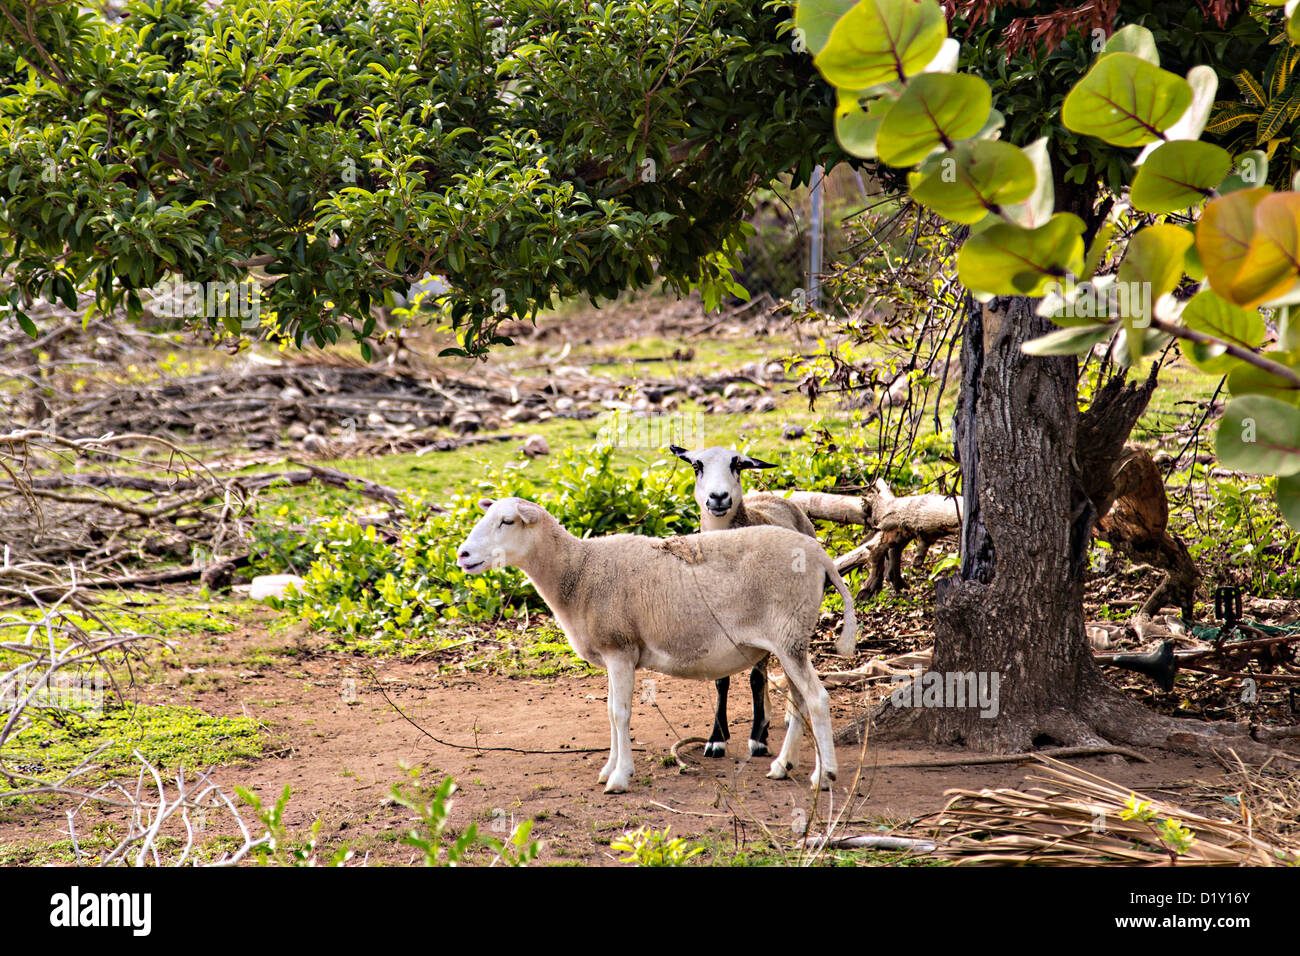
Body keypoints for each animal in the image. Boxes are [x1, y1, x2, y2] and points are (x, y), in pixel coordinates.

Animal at [454, 496, 852, 796]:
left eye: (507, 521)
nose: (462, 555)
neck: (578, 573)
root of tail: (820, 555)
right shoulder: (613, 653)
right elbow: (610, 711)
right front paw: (609, 769)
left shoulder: (620, 648)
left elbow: (620, 714)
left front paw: (619, 778)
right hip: (791, 638)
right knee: (799, 700)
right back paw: (783, 766)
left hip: (789, 633)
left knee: (817, 699)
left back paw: (825, 775)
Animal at [670, 442, 821, 764]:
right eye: (696, 465)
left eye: (737, 465)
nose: (718, 497)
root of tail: (774, 497)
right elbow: (722, 681)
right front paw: (716, 739)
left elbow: (755, 678)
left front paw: (758, 739)